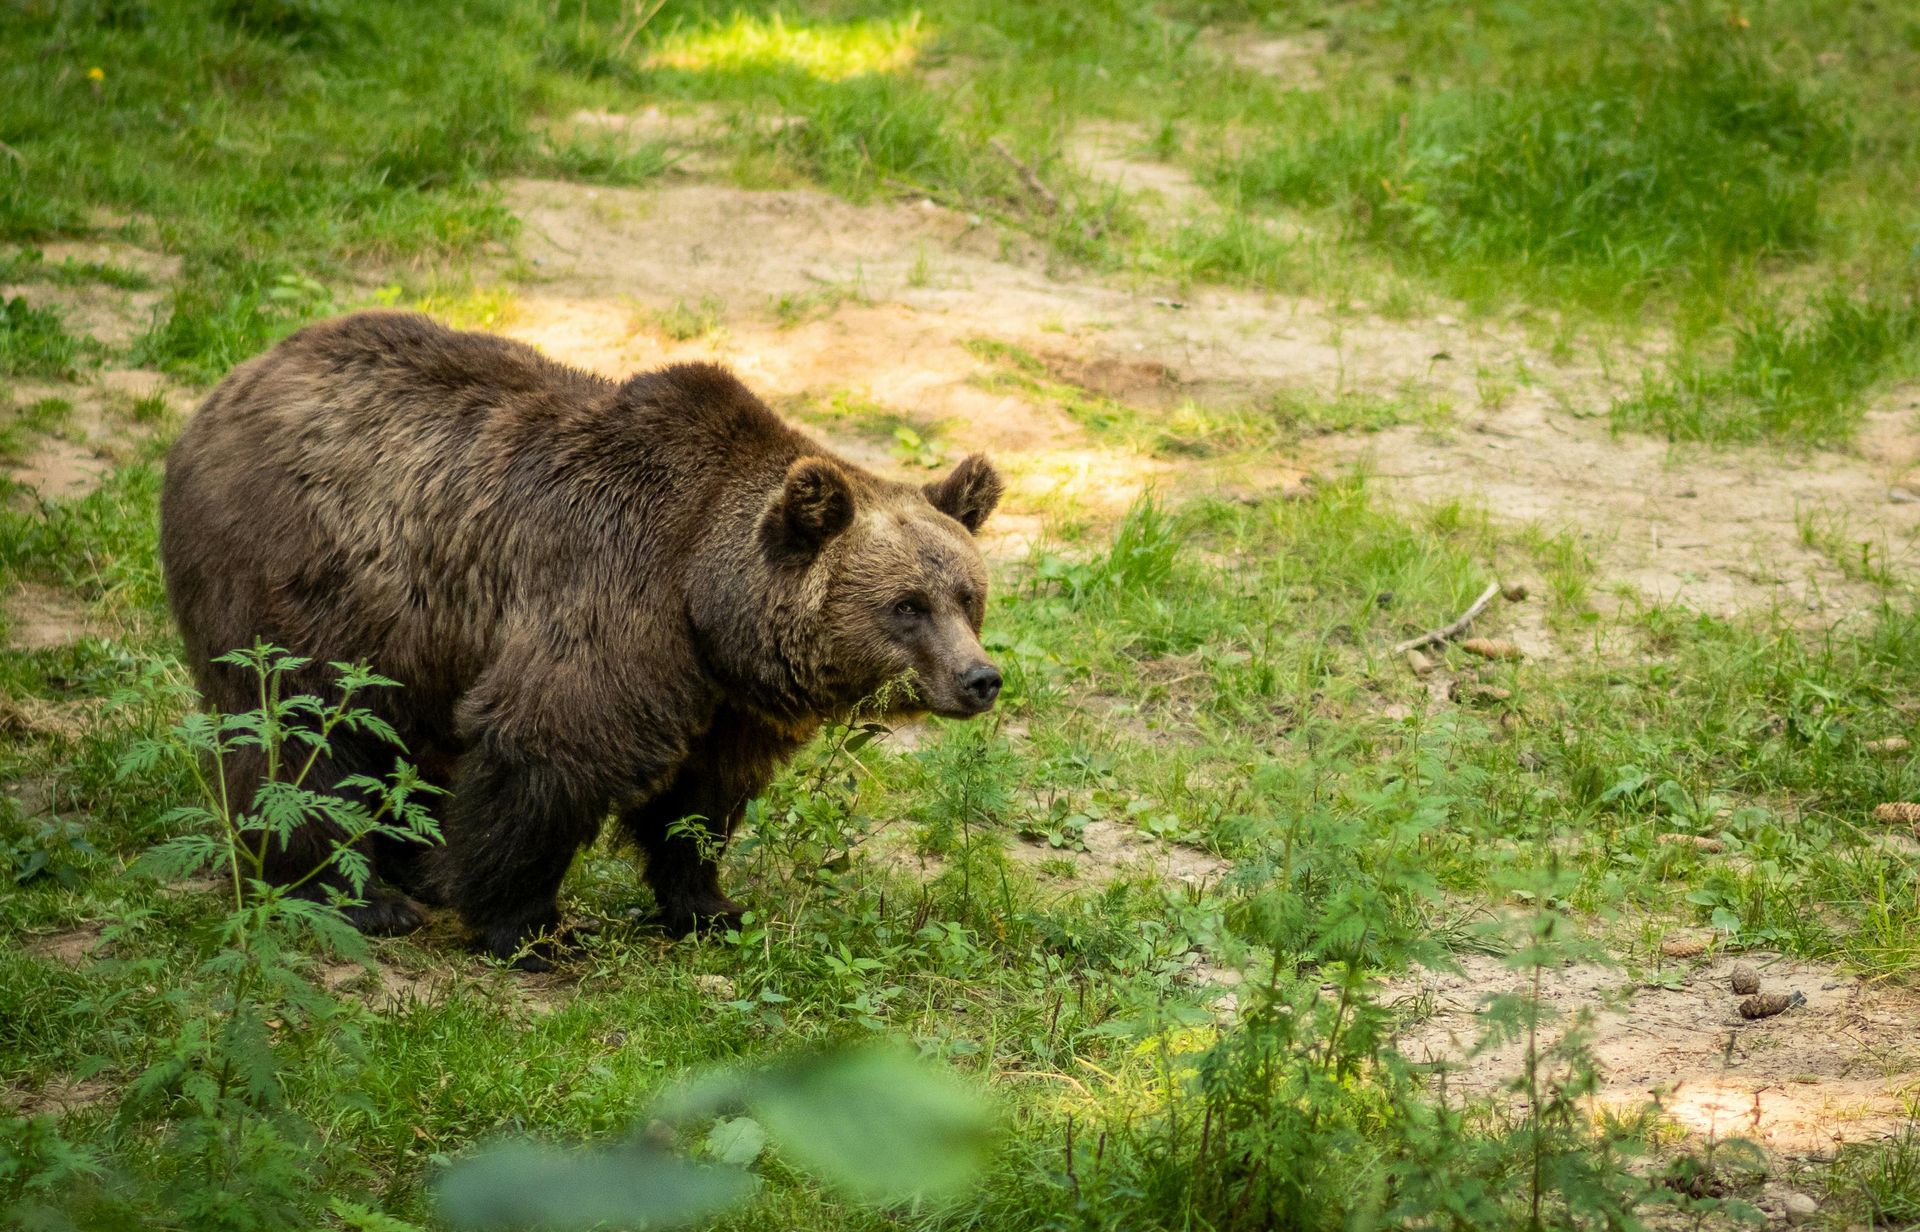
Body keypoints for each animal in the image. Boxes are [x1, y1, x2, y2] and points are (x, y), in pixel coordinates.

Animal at [159, 310, 1004, 967]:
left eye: (969, 597)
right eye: (906, 605)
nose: (981, 678)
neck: (705, 599)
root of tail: (240, 376)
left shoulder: (726, 701)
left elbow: (700, 804)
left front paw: (710, 906)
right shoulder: (609, 598)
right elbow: (548, 748)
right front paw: (533, 928)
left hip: (413, 632)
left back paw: (418, 866)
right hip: (300, 579)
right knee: (299, 735)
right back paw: (357, 896)